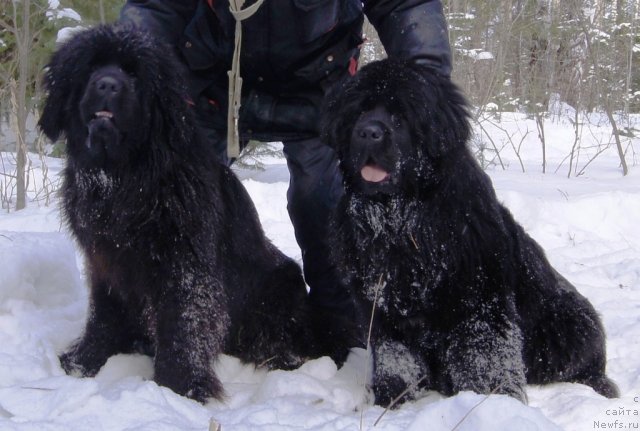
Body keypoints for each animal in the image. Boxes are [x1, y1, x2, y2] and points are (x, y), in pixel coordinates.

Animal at [38, 25, 344, 404]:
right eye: (91, 67)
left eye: (135, 74)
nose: (107, 84)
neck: (126, 178)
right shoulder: (106, 258)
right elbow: (104, 313)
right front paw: (85, 362)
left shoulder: (185, 263)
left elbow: (183, 323)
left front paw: (180, 386)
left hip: (278, 289)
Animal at [322, 59, 616, 406]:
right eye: (359, 111)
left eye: (400, 116)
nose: (368, 132)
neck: (402, 222)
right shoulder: (384, 307)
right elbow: (397, 357)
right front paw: (393, 398)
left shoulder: (479, 301)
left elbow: (484, 356)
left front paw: (489, 399)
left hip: (570, 323)